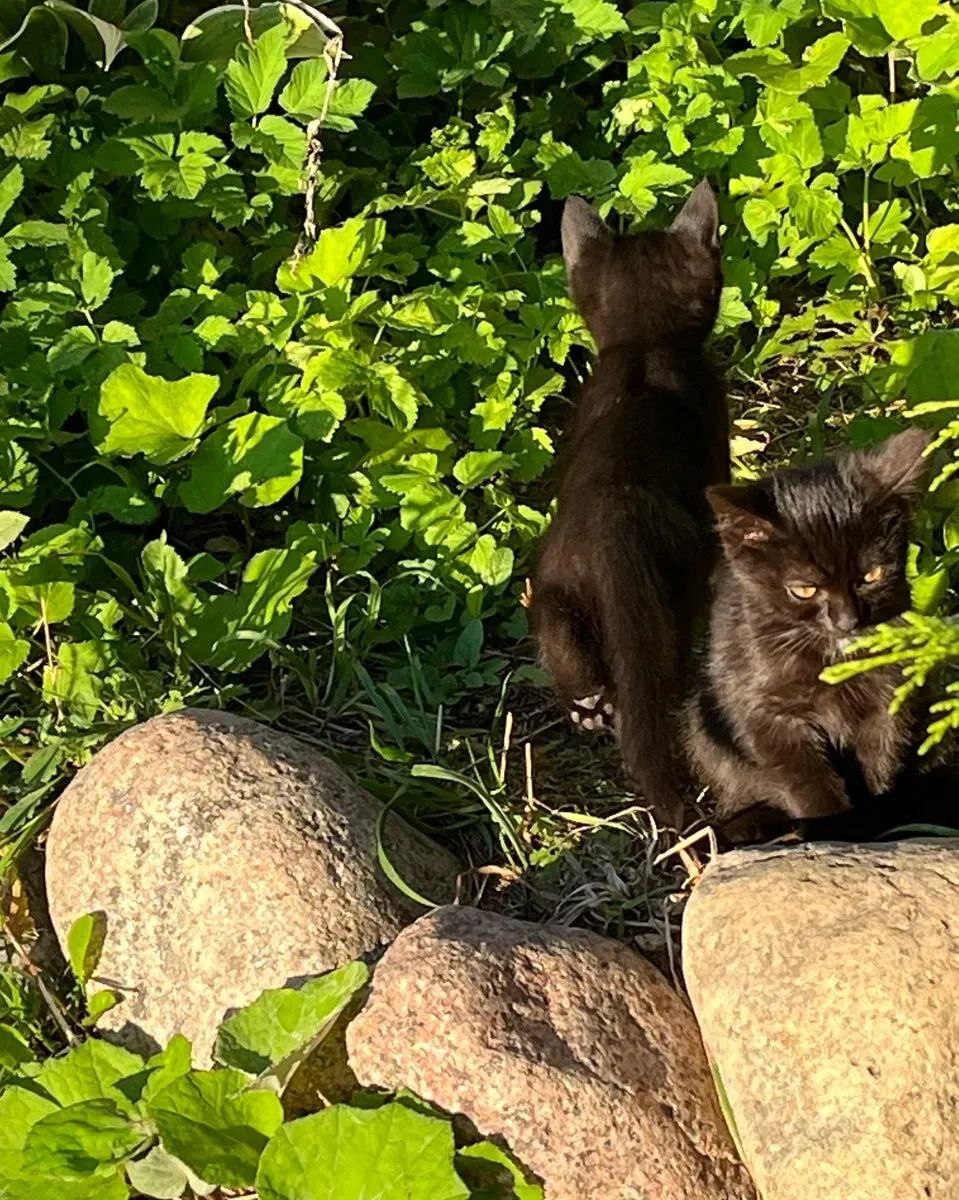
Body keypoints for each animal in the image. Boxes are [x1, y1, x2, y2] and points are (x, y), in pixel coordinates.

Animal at [532, 182, 729, 830]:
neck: (643, 350)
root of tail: (608, 530)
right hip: (670, 601)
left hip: (553, 598)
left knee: (573, 662)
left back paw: (590, 712)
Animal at [686, 429, 936, 835]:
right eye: (804, 589)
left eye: (871, 575)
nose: (847, 620)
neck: (832, 657)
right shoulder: (763, 709)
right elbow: (803, 777)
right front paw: (831, 828)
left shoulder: (889, 695)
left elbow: (881, 761)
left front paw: (875, 824)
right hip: (703, 721)